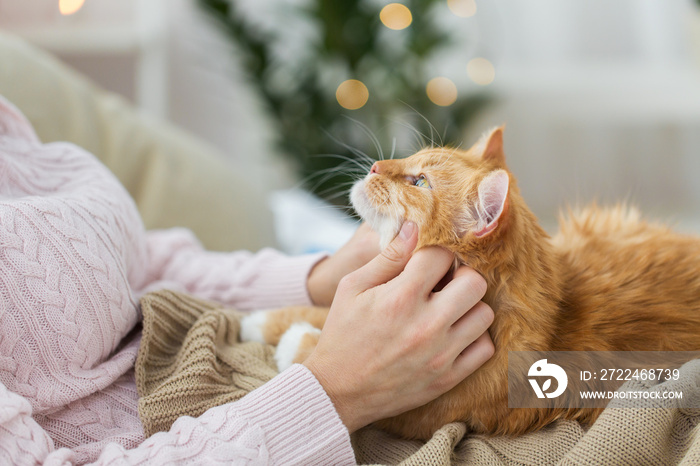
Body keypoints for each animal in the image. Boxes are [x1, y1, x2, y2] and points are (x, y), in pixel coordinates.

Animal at [239, 125, 700, 438]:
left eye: (419, 181)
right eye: (411, 160)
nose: (373, 166)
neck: (552, 321)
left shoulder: (413, 412)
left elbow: (319, 340)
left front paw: (291, 342)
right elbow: (324, 308)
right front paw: (262, 320)